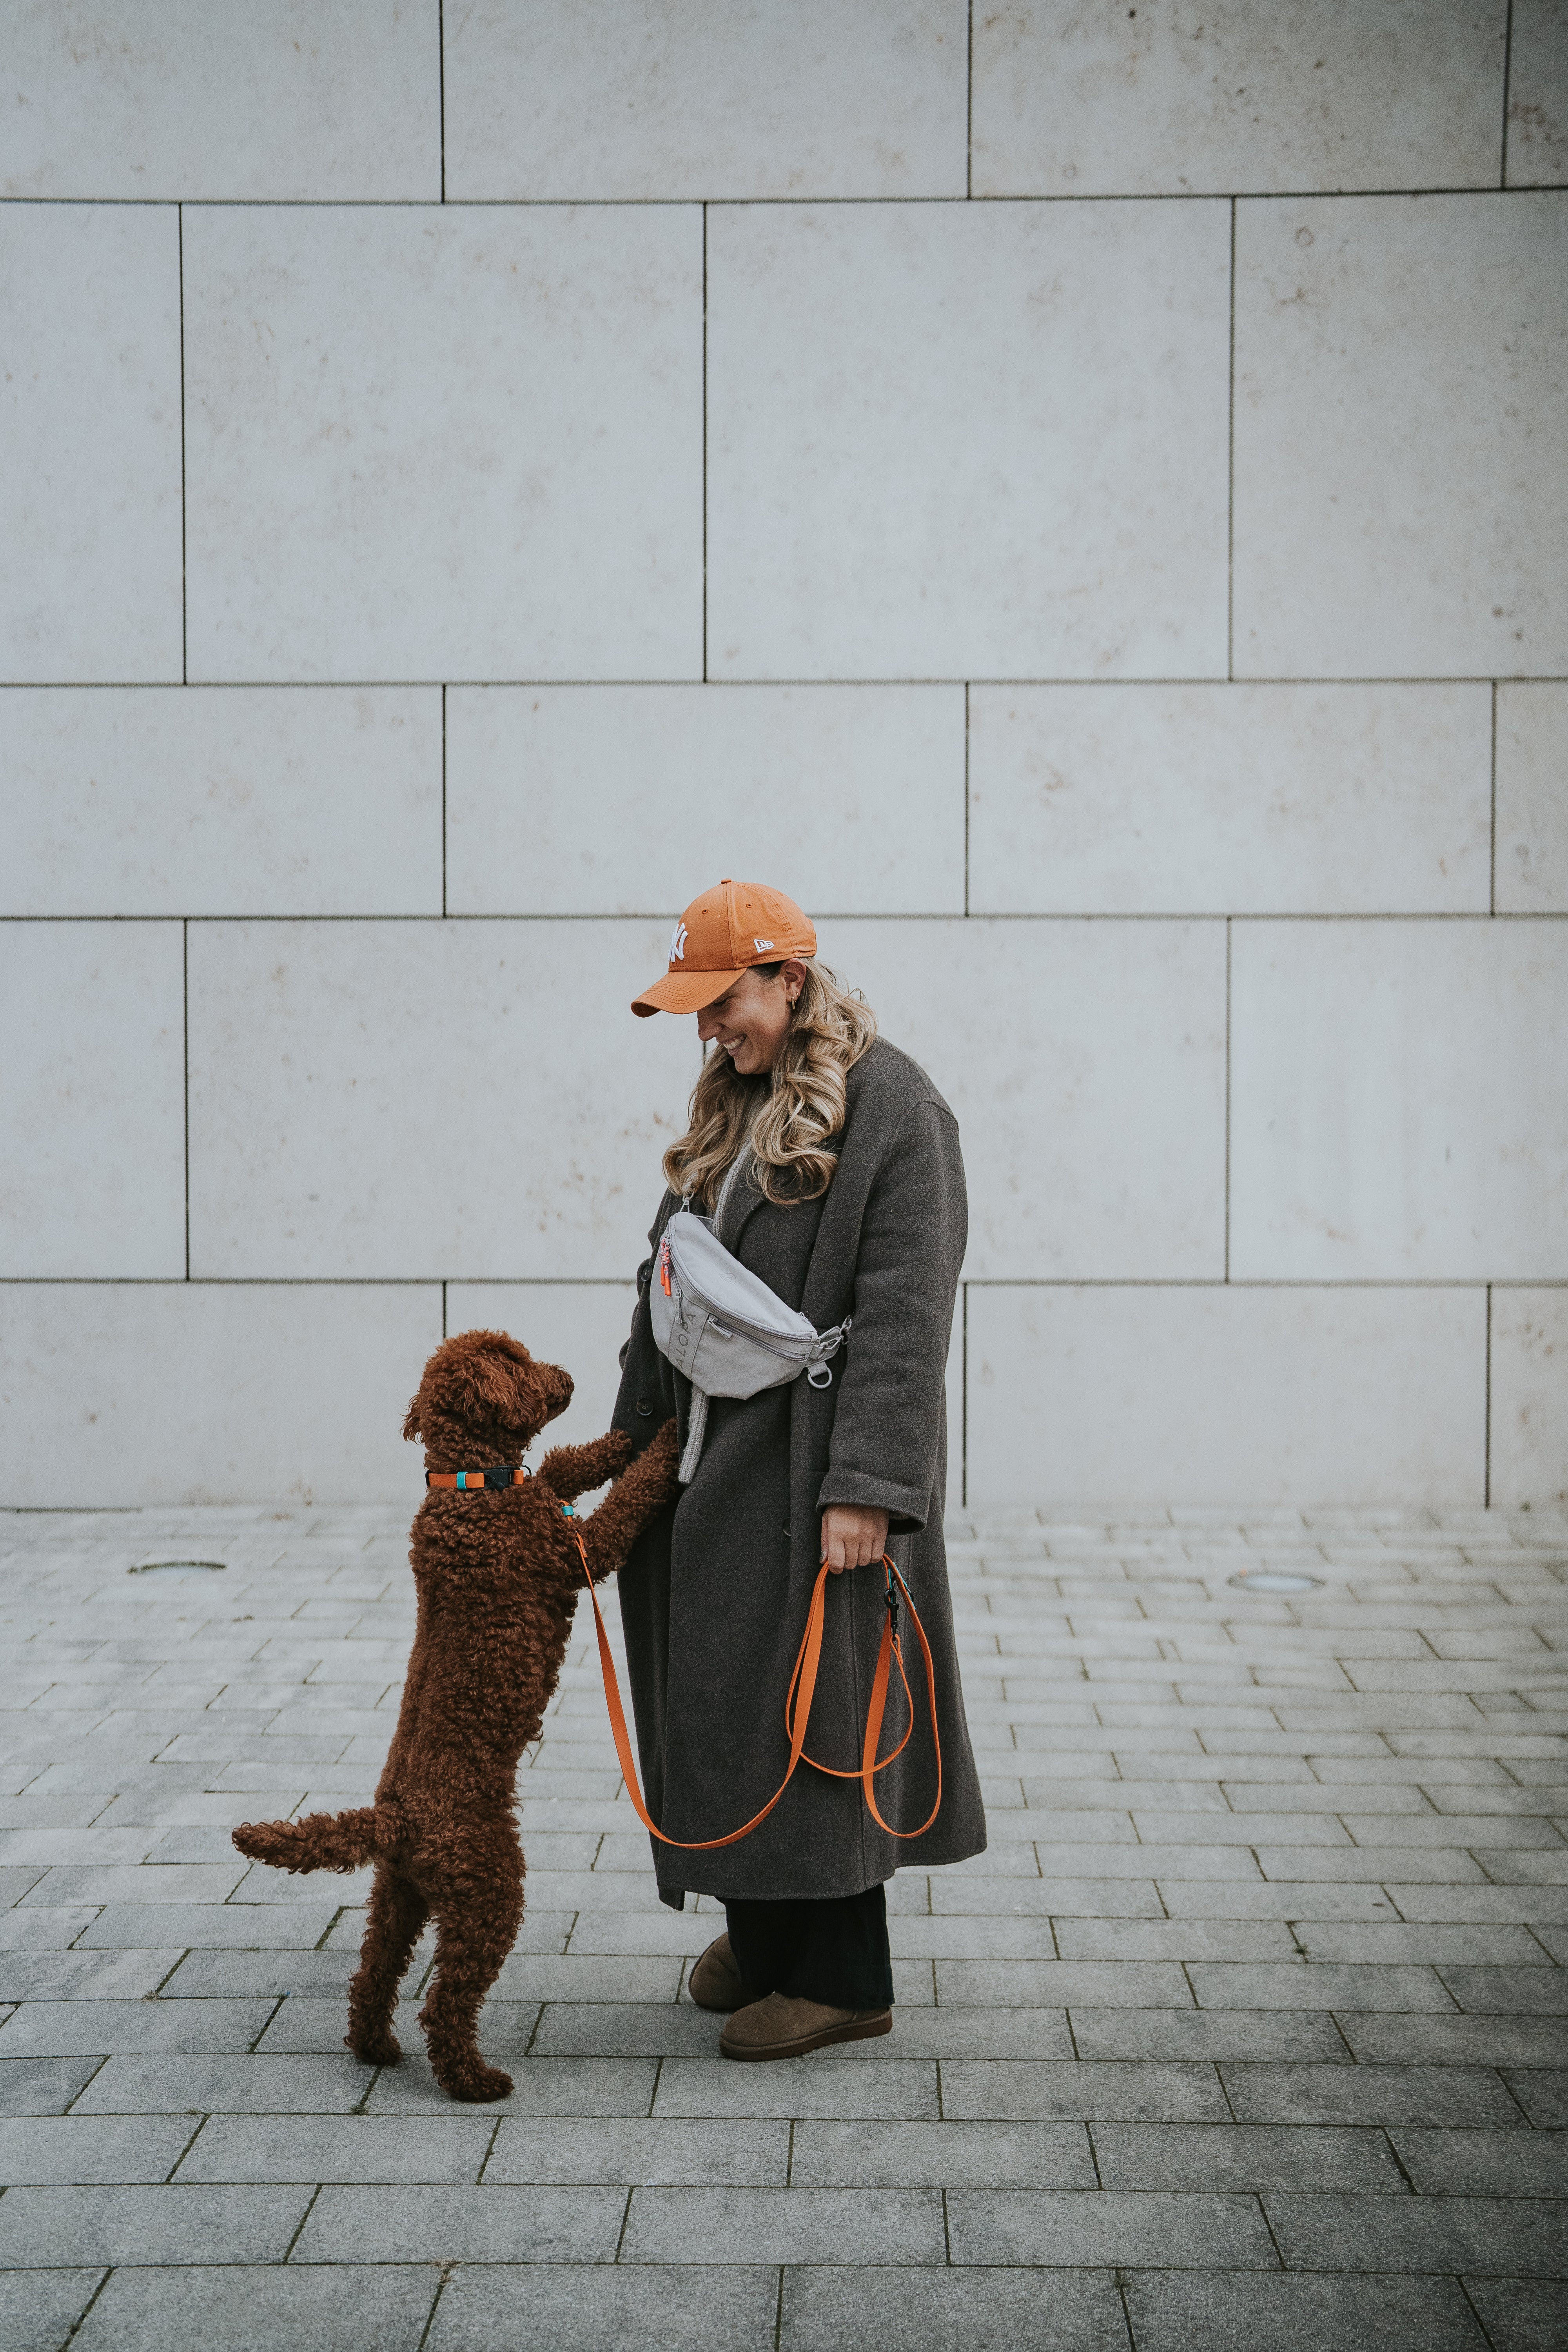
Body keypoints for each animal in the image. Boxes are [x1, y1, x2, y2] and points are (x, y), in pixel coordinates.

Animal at [235, 1336, 682, 2107]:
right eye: (518, 1362)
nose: (568, 1375)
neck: (473, 1486)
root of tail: (397, 1819)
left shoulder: (540, 1499)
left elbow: (559, 1464)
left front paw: (616, 1443)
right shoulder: (571, 1551)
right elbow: (623, 1507)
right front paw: (667, 1442)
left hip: (398, 1895)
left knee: (373, 1973)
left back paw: (376, 2048)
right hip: (489, 1887)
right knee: (446, 2002)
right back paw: (474, 2080)